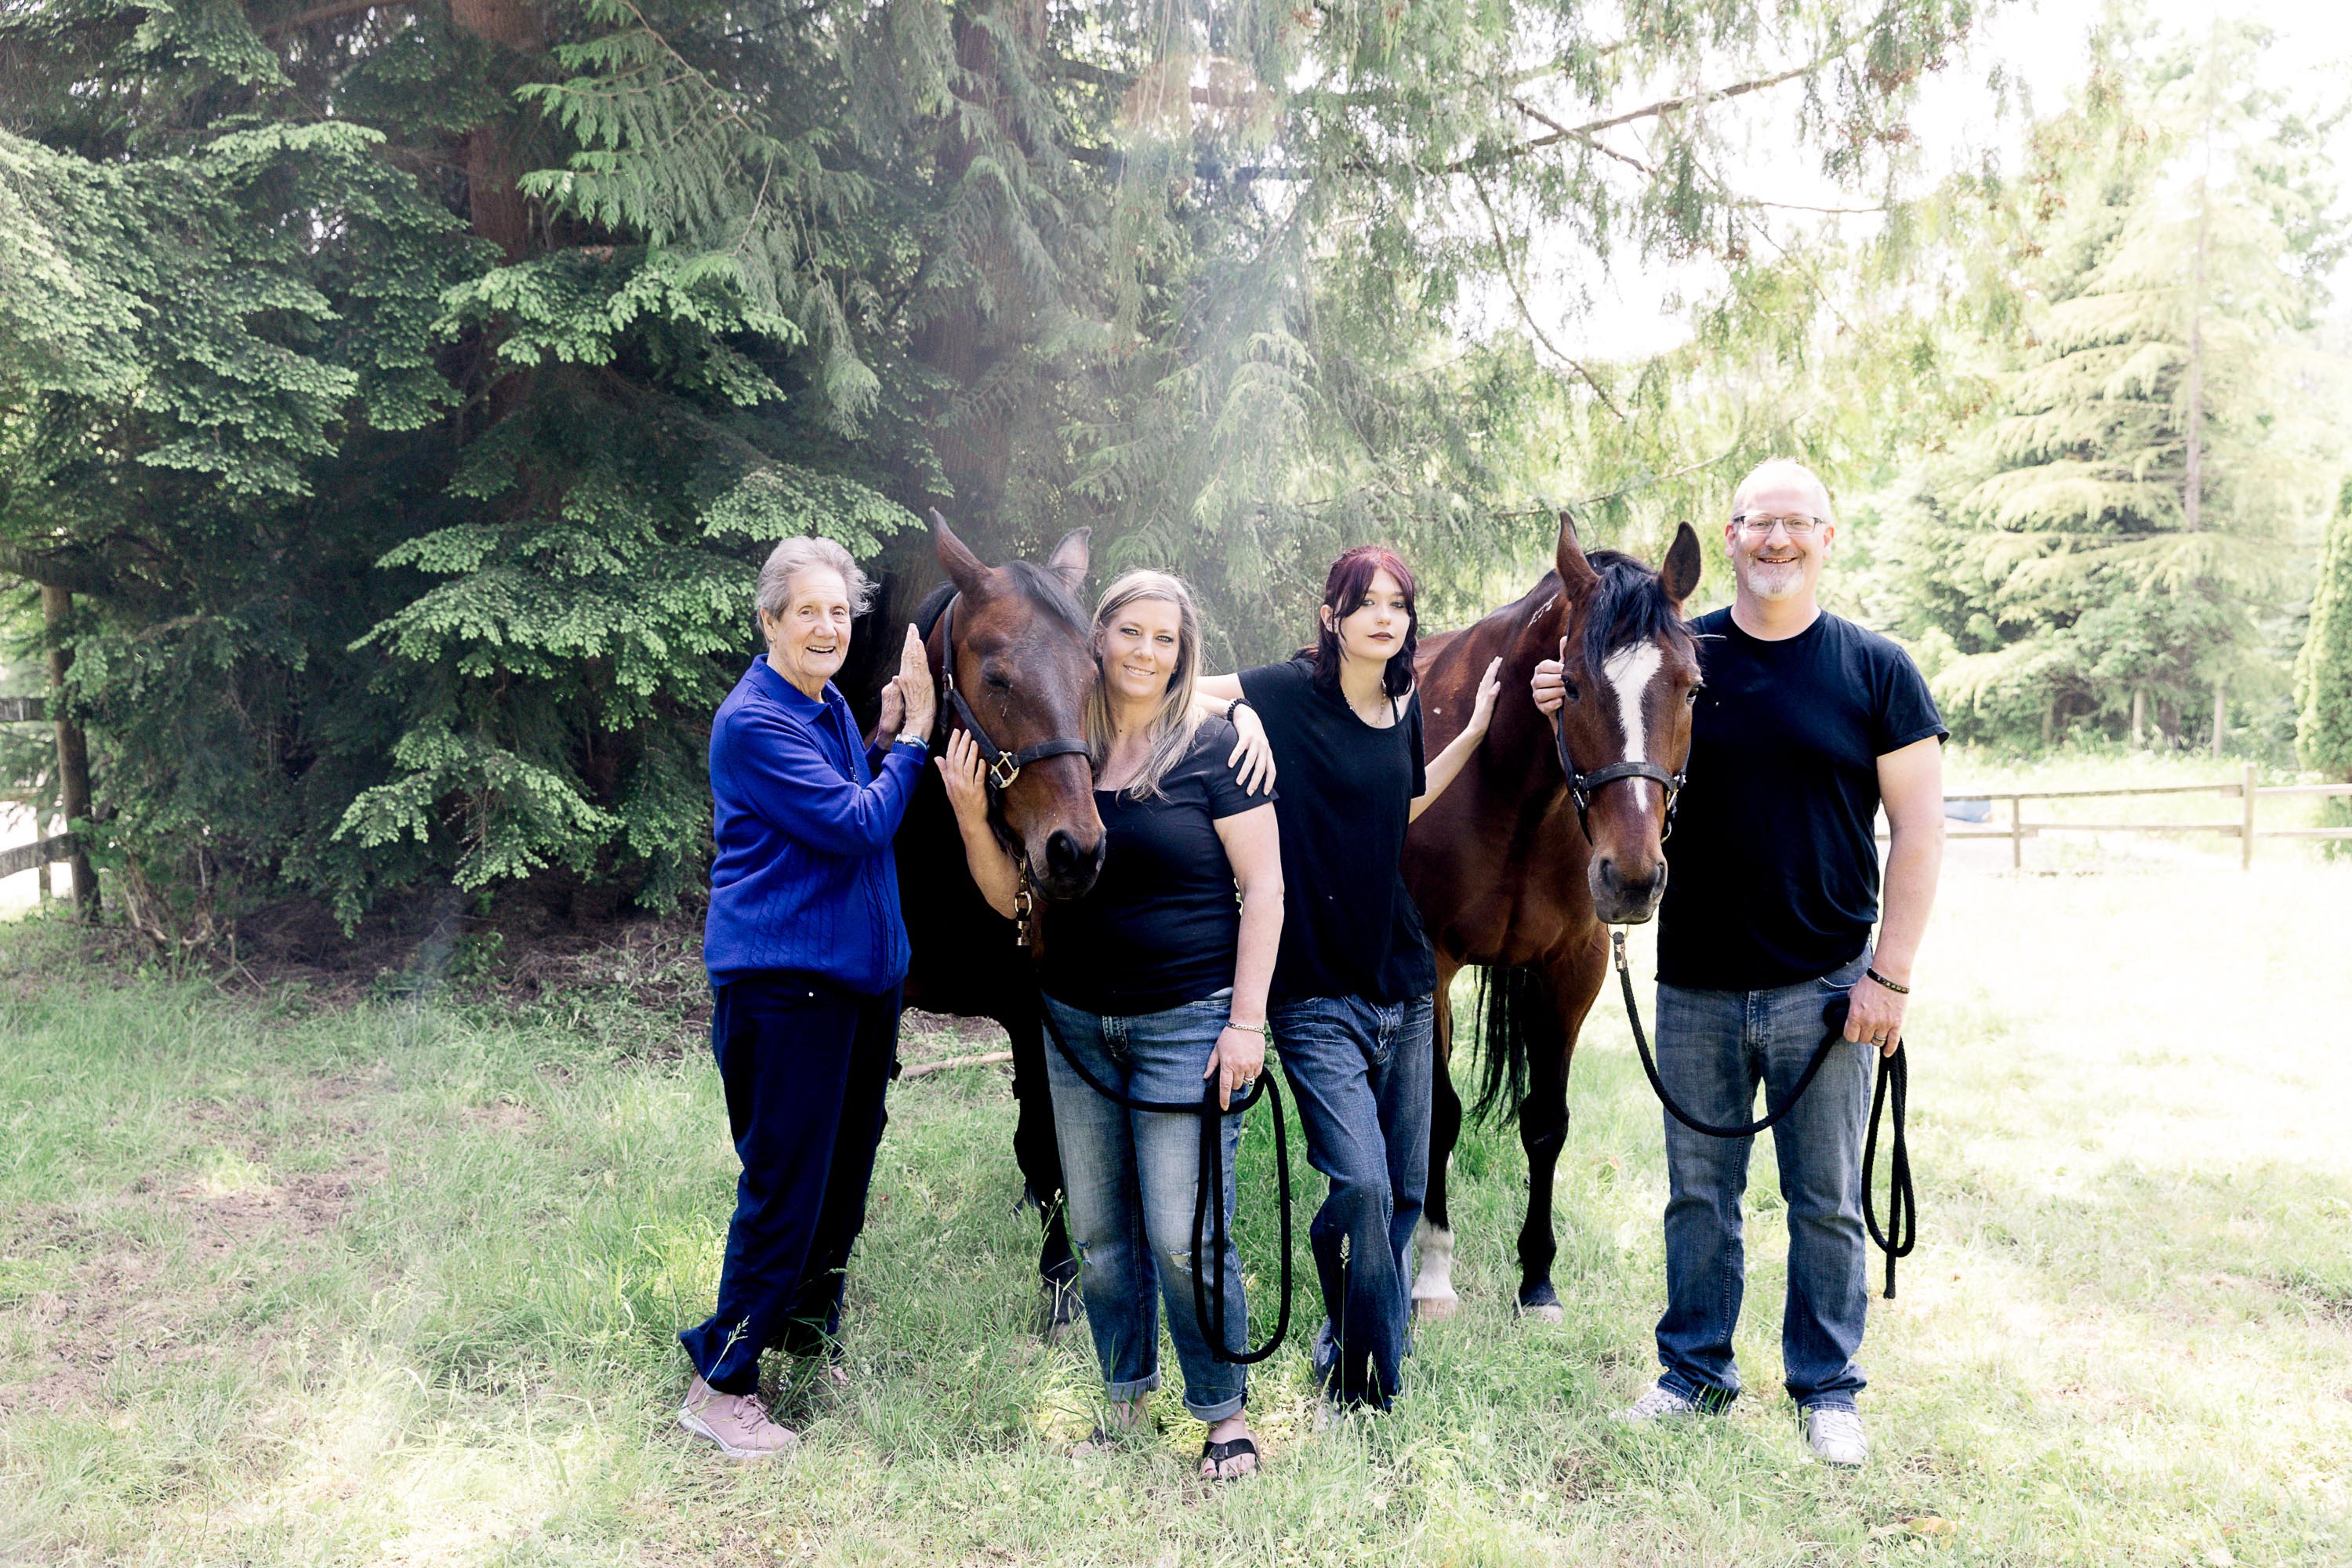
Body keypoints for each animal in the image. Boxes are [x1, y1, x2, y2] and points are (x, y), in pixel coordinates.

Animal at [884, 514, 1101, 1326]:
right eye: (1000, 678)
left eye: (1094, 677)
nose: (1075, 851)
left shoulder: (1030, 1006)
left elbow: (1044, 1134)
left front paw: (1061, 1279)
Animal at [1392, 517, 1712, 1326]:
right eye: (1567, 684)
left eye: (1692, 687)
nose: (1631, 879)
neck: (1510, 785)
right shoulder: (1430, 966)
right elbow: (1439, 1115)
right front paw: (1433, 1275)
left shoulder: (1574, 967)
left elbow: (1546, 1121)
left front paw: (1537, 1279)